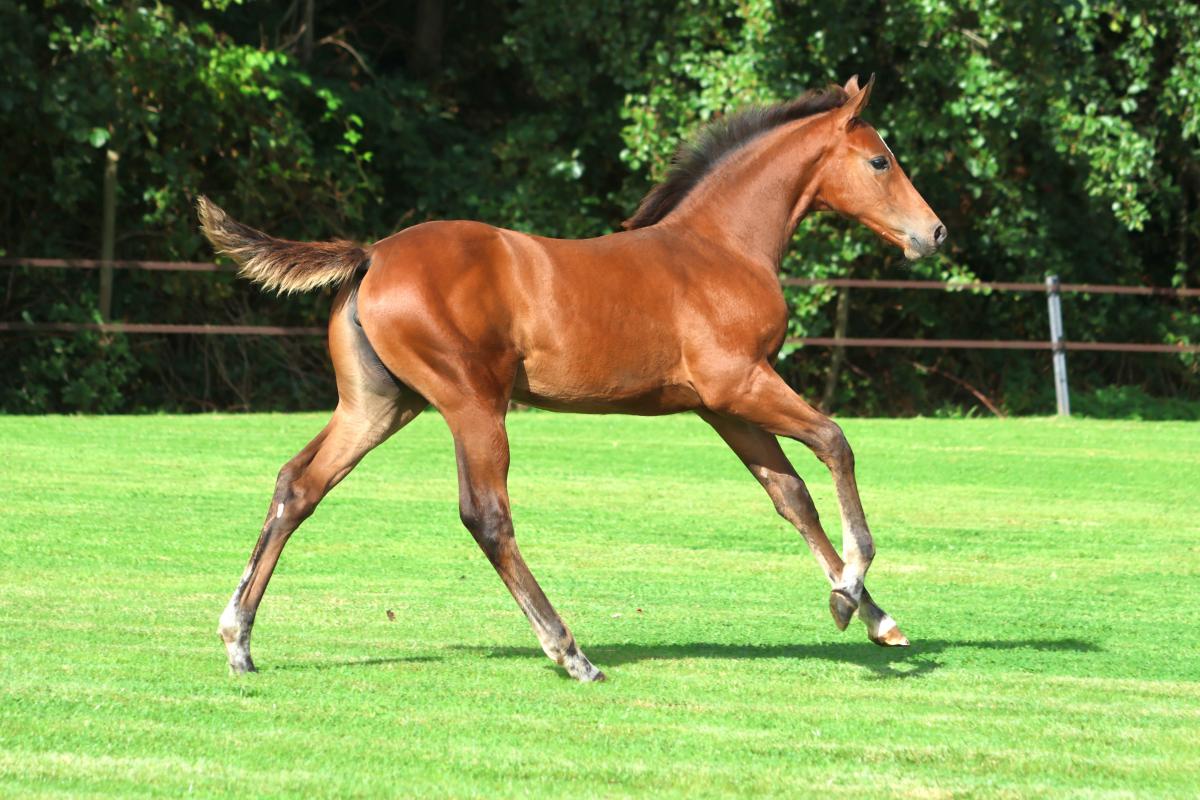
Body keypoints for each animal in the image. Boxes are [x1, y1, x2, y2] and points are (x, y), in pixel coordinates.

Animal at [199, 75, 945, 682]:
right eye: (880, 160)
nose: (934, 233)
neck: (721, 248)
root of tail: (372, 254)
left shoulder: (722, 406)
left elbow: (790, 496)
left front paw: (872, 615)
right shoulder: (739, 382)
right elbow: (835, 443)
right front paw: (851, 589)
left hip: (379, 405)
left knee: (298, 485)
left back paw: (239, 641)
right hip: (472, 403)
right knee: (486, 515)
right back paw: (570, 651)